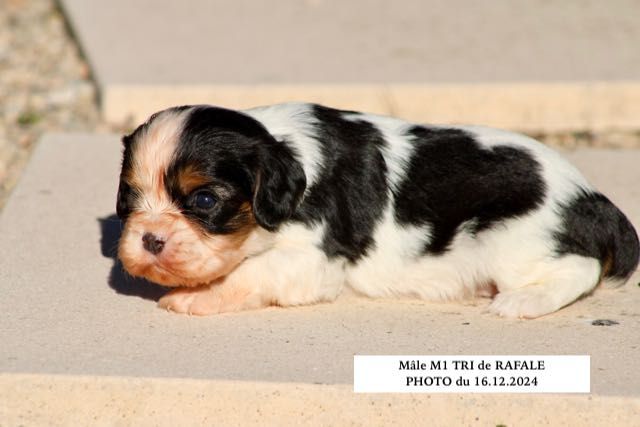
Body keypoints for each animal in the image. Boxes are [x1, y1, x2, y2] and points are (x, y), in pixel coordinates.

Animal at [117, 103, 636, 318]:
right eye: (130, 199)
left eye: (204, 200)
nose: (150, 239)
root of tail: (594, 200)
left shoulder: (313, 260)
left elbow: (249, 271)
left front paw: (195, 297)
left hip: (518, 242)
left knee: (579, 270)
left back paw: (521, 303)